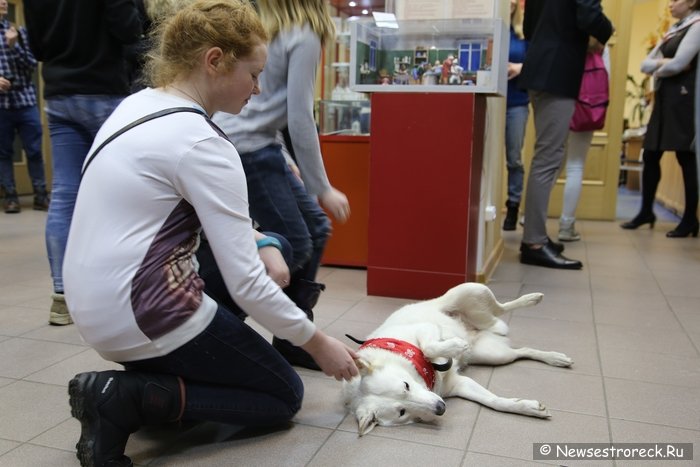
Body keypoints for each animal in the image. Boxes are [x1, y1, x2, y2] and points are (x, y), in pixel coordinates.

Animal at [342, 282, 572, 438]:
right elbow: (494, 402)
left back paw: (531, 298)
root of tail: (477, 327)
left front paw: (454, 346)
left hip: (470, 291)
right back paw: (554, 358)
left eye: (406, 385)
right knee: (520, 351)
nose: (441, 408)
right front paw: (526, 408)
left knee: (502, 307)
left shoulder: (424, 328)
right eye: (401, 412)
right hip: (493, 355)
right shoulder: (458, 385)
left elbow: (428, 346)